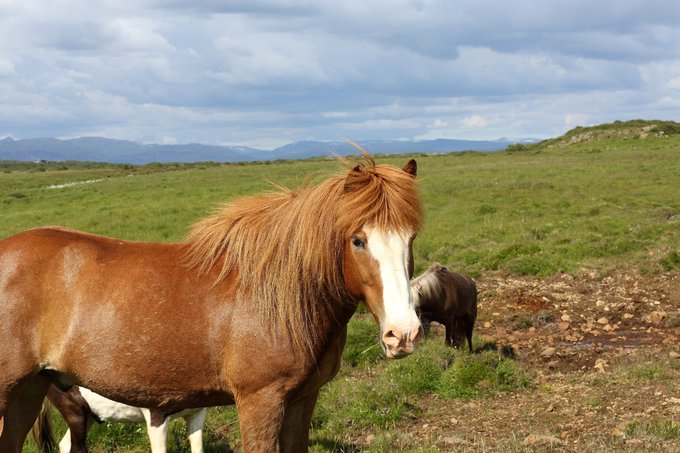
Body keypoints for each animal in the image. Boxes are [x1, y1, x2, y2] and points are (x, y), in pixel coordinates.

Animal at [1, 154, 424, 450]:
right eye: (358, 240)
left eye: (412, 237)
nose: (403, 334)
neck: (278, 296)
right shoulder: (259, 401)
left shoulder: (302, 399)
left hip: (29, 390)